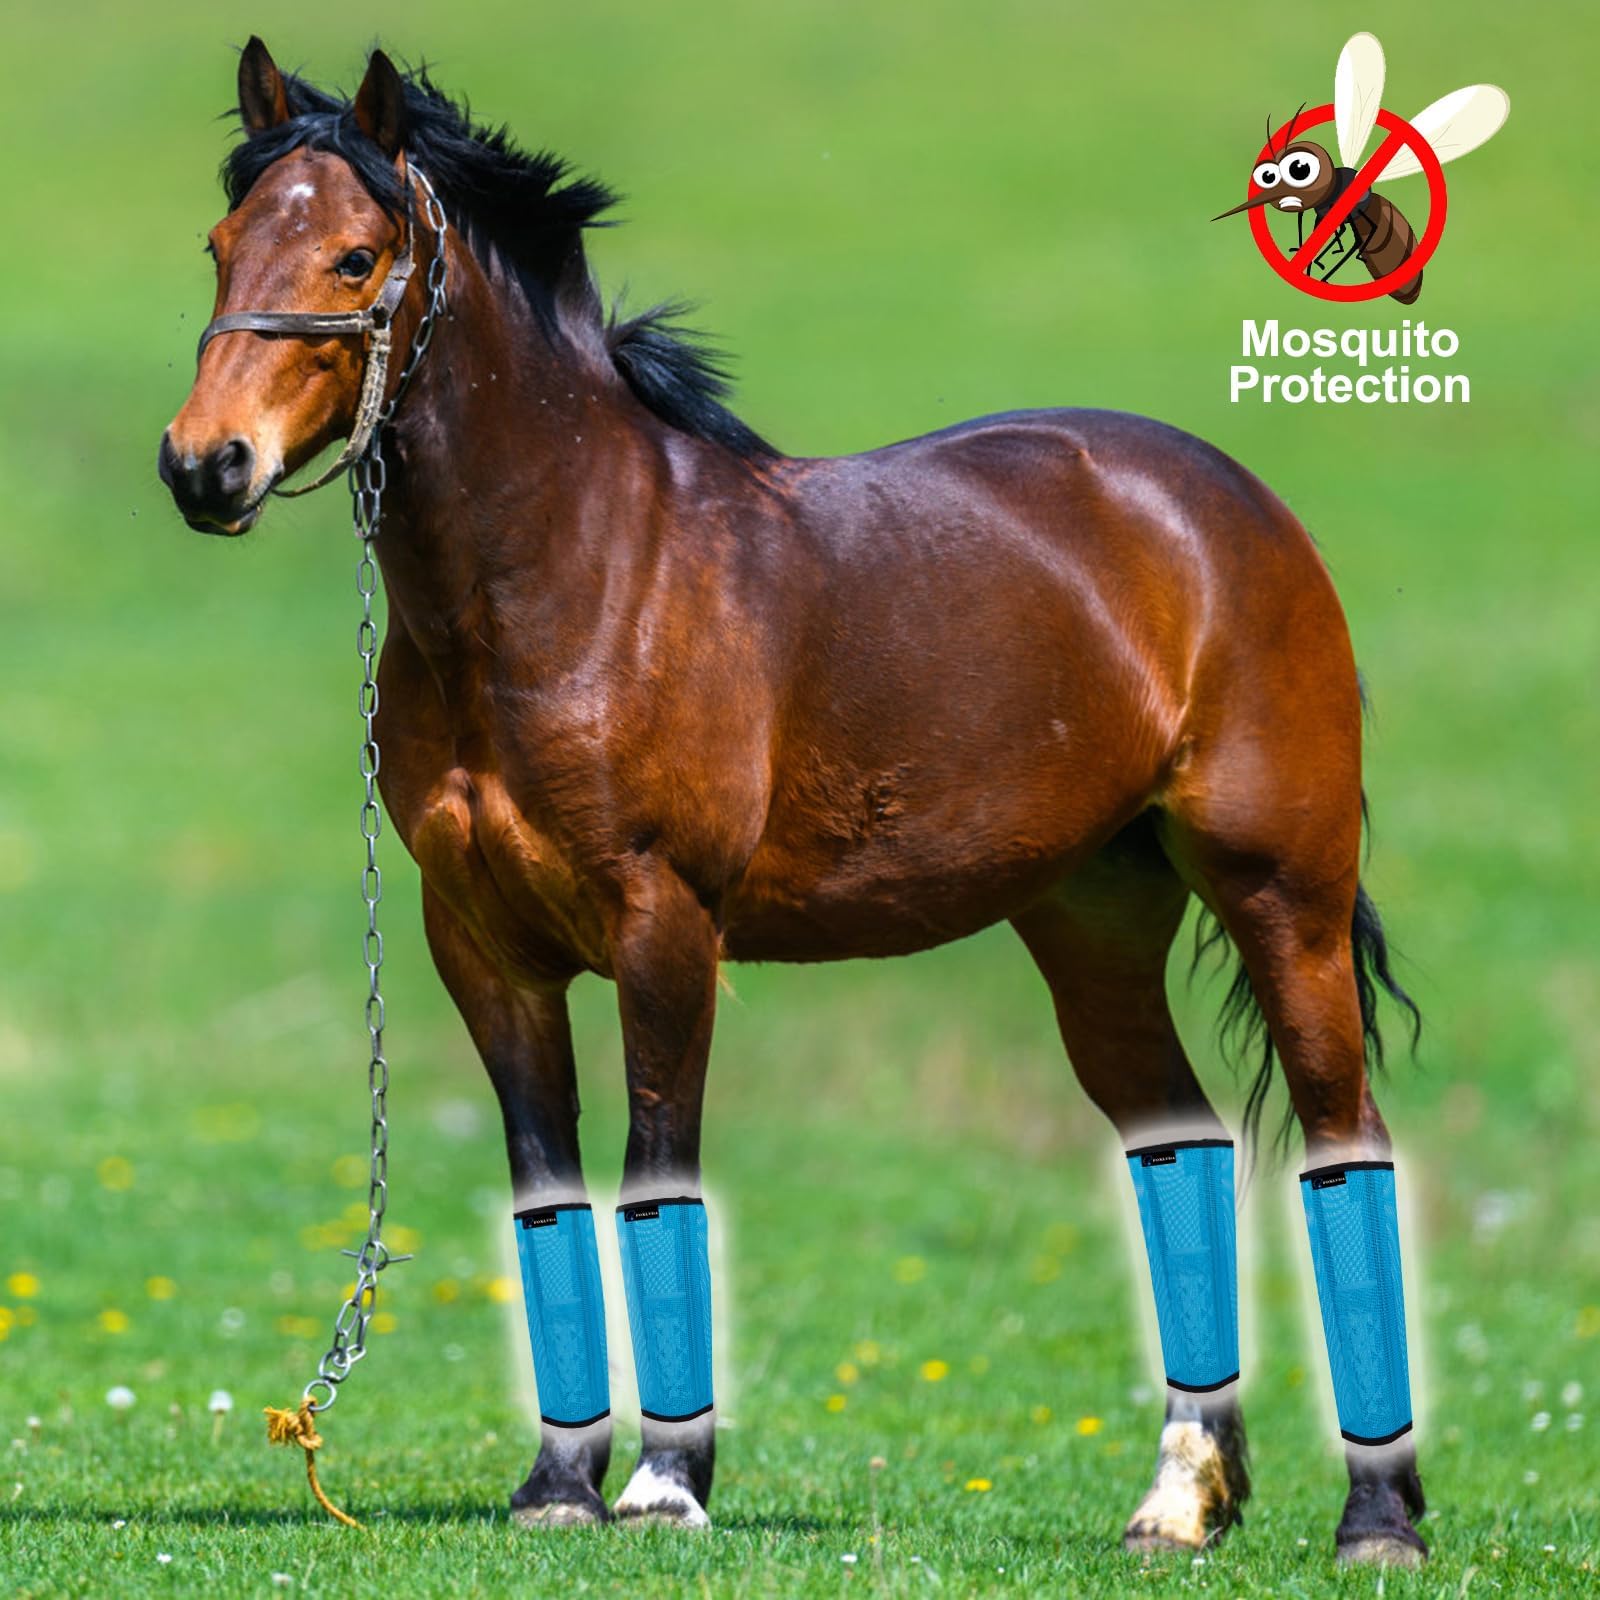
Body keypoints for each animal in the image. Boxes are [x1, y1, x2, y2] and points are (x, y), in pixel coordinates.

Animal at [160, 40, 1428, 1564]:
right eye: (221, 243)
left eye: (355, 257)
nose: (203, 465)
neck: (575, 572)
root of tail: (1223, 503)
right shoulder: (482, 948)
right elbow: (544, 1196)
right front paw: (557, 1485)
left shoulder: (664, 927)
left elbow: (657, 1175)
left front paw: (663, 1484)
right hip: (1092, 921)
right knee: (1178, 1144)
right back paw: (1180, 1500)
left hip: (1280, 896)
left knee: (1345, 1144)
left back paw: (1378, 1516)